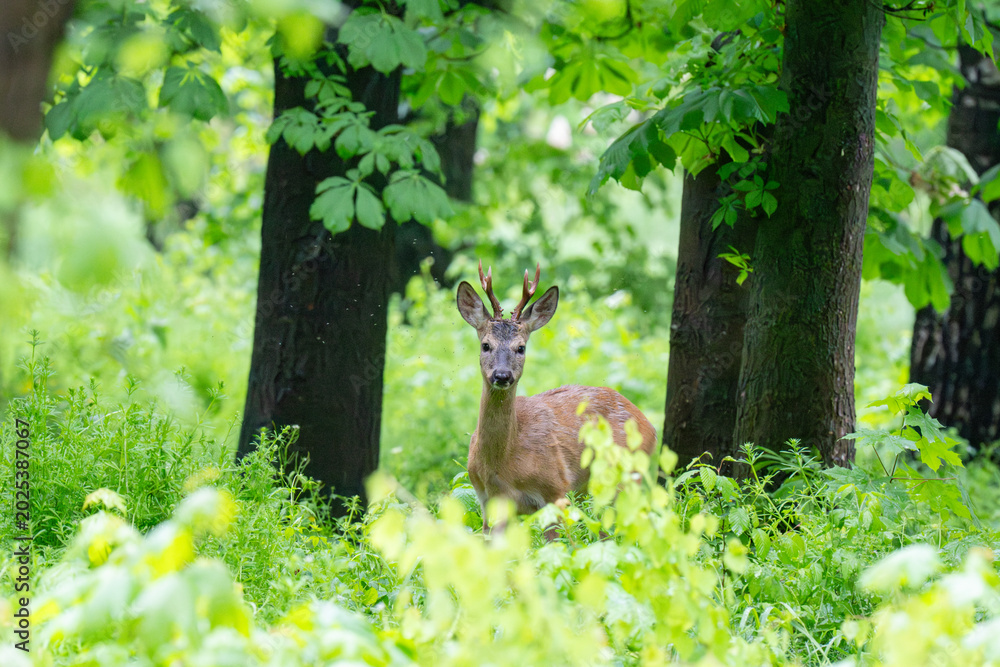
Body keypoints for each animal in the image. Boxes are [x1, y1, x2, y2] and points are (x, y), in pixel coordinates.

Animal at [456, 261, 657, 533]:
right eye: (485, 345)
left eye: (521, 348)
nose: (502, 375)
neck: (503, 462)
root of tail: (649, 424)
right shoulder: (488, 502)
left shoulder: (556, 489)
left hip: (625, 475)